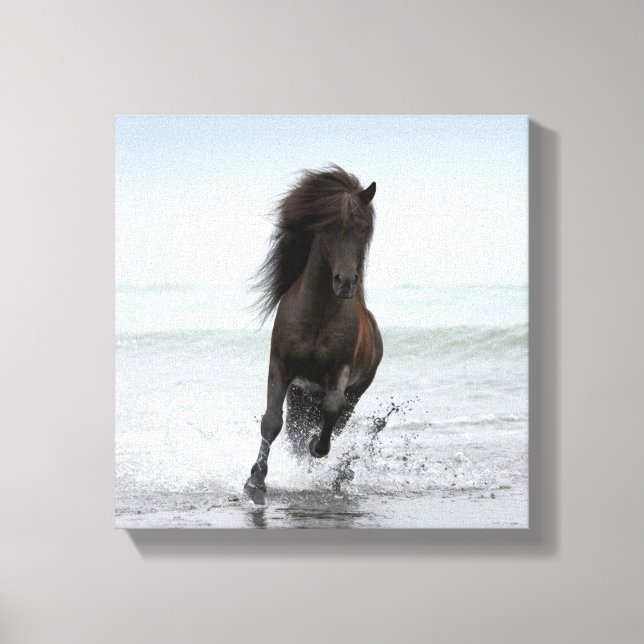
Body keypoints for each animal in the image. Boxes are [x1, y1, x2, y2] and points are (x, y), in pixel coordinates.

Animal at [244, 165, 383, 504]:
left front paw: (316, 447)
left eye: (362, 229)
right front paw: (256, 481)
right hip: (300, 392)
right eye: (329, 227)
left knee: (334, 420)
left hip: (353, 393)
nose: (345, 282)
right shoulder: (280, 366)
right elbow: (271, 421)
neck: (318, 314)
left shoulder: (339, 371)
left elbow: (330, 411)